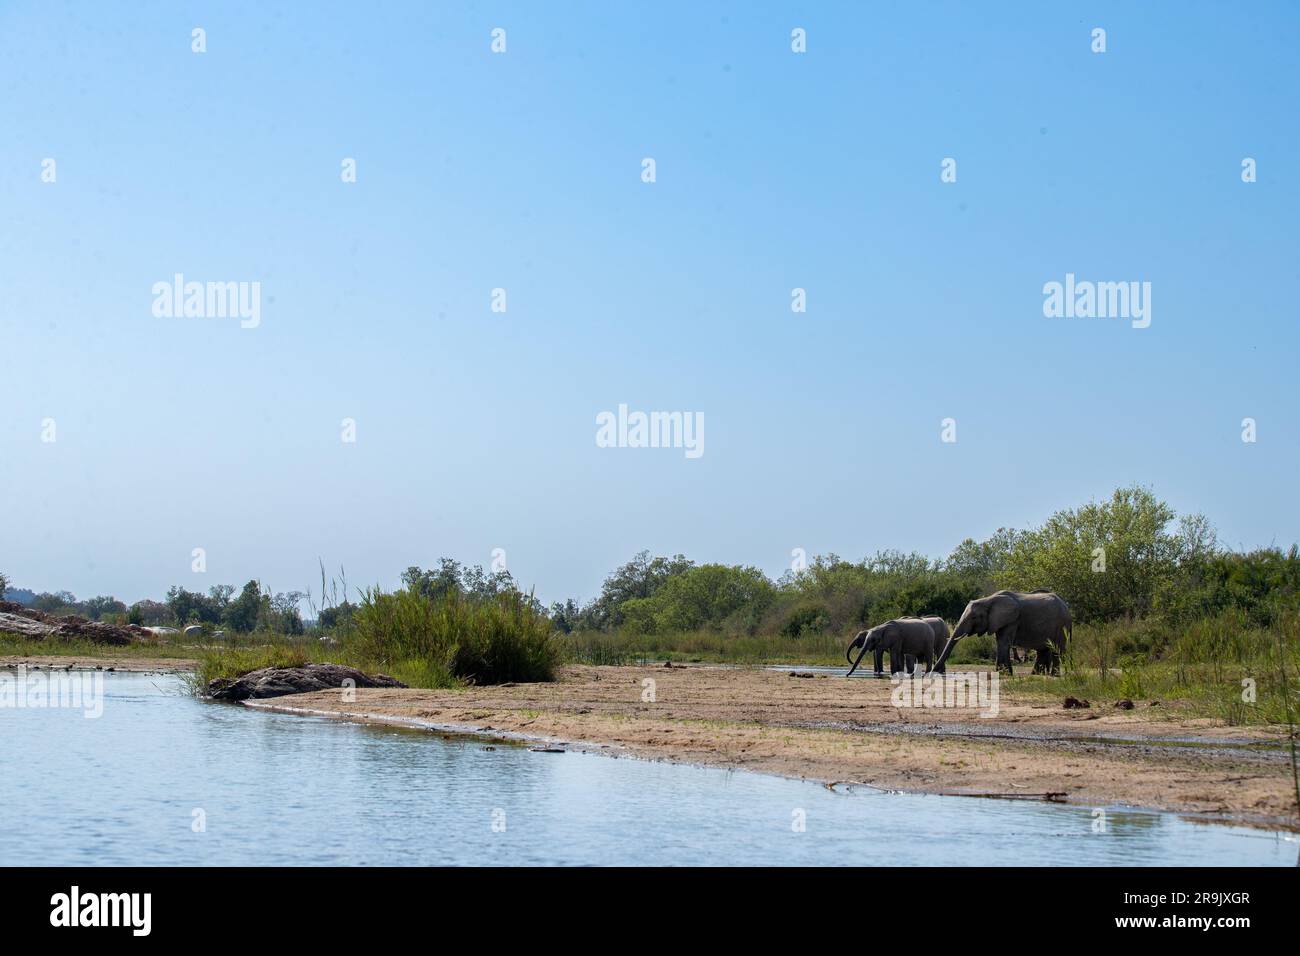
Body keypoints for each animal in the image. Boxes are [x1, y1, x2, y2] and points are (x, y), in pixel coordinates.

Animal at [935, 587, 1076, 676]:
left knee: (1057, 648)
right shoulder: (998, 621)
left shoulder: (1012, 620)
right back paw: (1036, 674)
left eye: (974, 617)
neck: (989, 599)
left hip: (1061, 626)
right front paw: (1001, 672)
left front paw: (1005, 673)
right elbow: (1000, 641)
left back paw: (1054, 675)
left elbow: (1003, 642)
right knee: (1043, 649)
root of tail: (1067, 609)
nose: (935, 671)